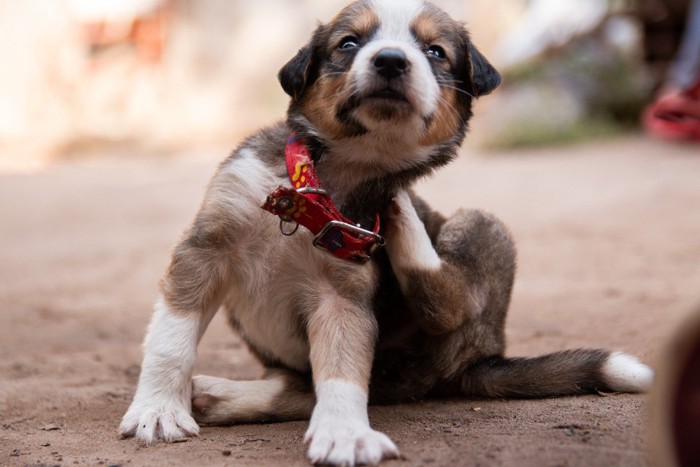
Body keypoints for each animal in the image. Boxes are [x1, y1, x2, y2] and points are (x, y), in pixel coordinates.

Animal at [117, 1, 652, 466]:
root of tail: (484, 355)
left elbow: (342, 369)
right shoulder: (206, 247)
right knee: (302, 382)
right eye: (349, 43)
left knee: (440, 306)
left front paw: (344, 433)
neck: (325, 185)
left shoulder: (343, 291)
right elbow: (171, 338)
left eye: (435, 51)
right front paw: (158, 411)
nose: (392, 60)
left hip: (480, 230)